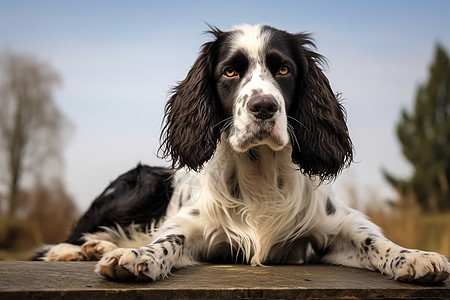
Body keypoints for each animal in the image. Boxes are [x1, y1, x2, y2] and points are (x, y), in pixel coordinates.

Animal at [32, 25, 450, 284]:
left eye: (284, 69)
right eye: (230, 72)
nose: (264, 107)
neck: (260, 168)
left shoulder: (336, 229)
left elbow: (374, 240)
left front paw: (414, 256)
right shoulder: (193, 226)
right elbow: (167, 240)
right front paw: (138, 257)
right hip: (142, 184)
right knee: (63, 239)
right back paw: (81, 250)